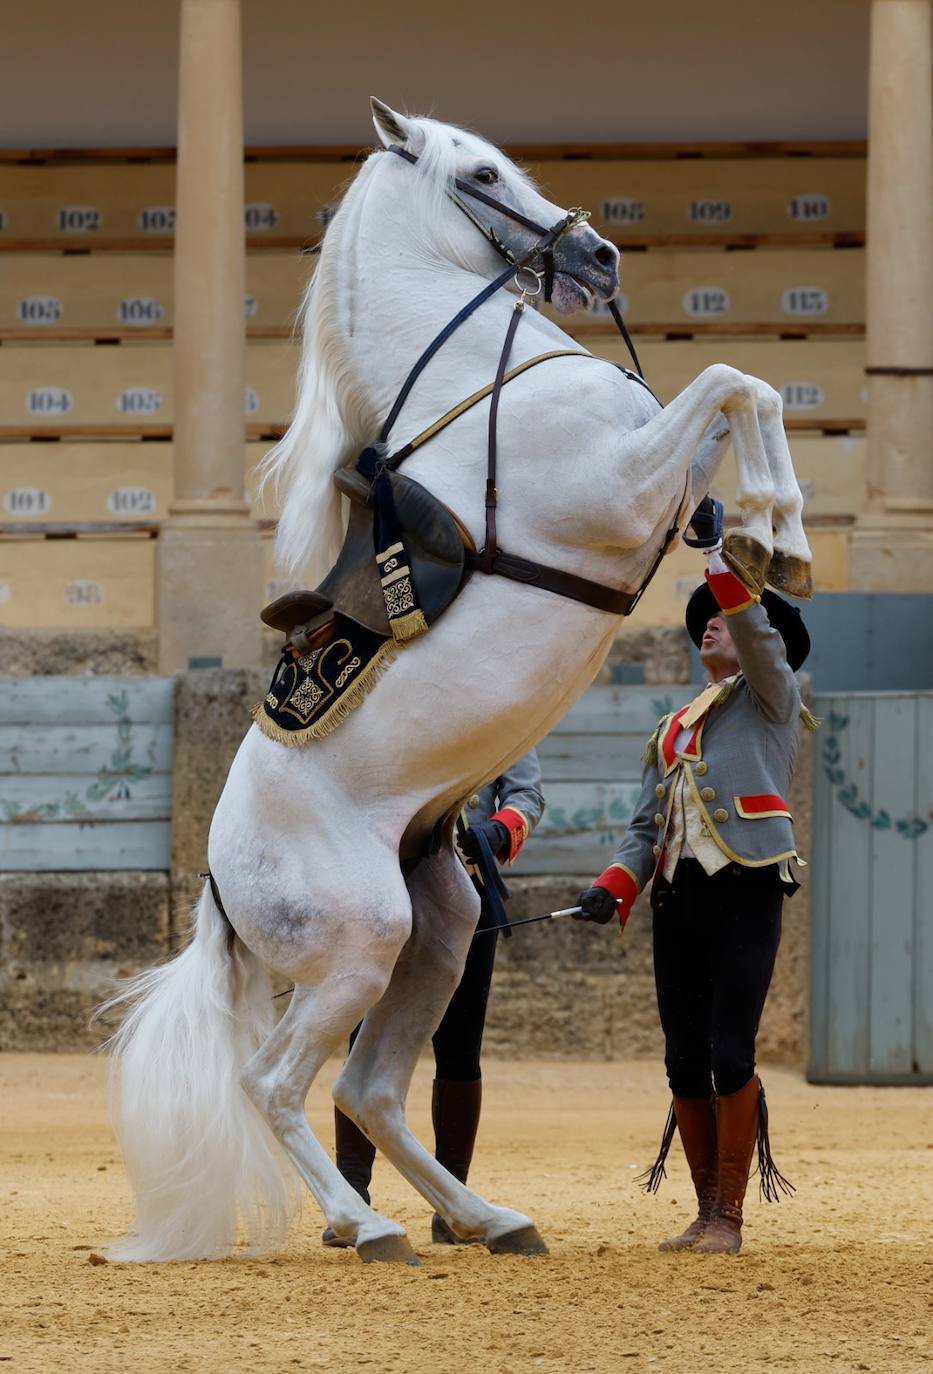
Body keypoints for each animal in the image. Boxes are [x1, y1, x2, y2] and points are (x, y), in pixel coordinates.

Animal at [103, 99, 807, 1264]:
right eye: (481, 173)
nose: (598, 257)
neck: (477, 380)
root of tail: (217, 876)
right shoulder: (618, 487)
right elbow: (730, 384)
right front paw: (778, 533)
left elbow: (746, 393)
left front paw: (761, 535)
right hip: (359, 949)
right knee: (278, 1081)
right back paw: (367, 1226)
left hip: (434, 936)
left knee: (372, 1088)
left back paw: (485, 1217)